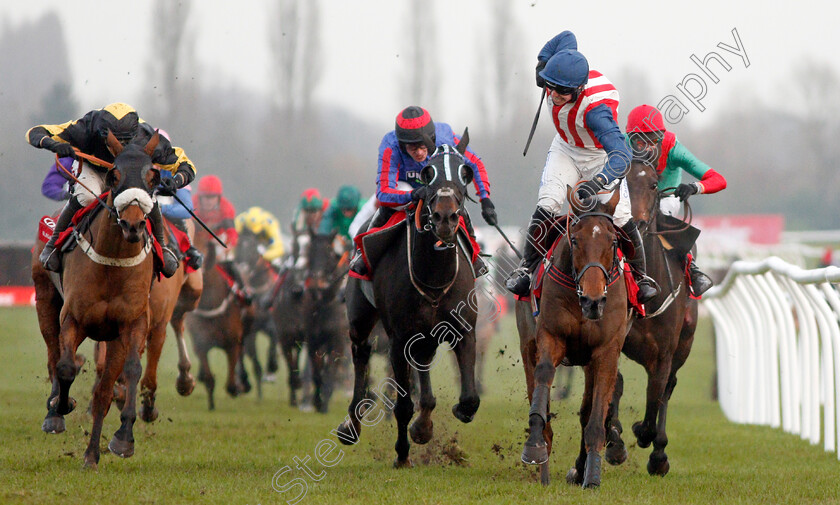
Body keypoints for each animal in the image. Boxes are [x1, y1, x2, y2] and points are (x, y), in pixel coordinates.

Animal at [33, 131, 164, 468]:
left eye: (153, 177)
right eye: (114, 175)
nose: (133, 224)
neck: (112, 262)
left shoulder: (132, 323)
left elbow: (130, 372)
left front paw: (124, 438)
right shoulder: (73, 318)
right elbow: (66, 367)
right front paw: (61, 406)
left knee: (103, 393)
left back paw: (92, 454)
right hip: (45, 301)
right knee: (54, 356)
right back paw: (54, 412)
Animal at [334, 136, 480, 466]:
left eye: (465, 172)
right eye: (427, 173)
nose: (444, 217)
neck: (434, 275)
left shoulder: (463, 329)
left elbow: (469, 400)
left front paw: (427, 426)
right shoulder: (398, 338)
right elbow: (401, 405)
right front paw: (402, 454)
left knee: (422, 364)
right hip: (360, 316)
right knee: (360, 353)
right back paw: (352, 423)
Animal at [520, 190, 632, 488]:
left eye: (613, 241)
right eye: (575, 239)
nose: (593, 301)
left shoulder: (606, 352)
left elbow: (595, 414)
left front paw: (591, 475)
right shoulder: (550, 336)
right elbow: (543, 377)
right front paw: (534, 445)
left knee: (586, 410)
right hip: (527, 344)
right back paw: (544, 467)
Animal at [604, 159, 704, 474]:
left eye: (653, 185)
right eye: (621, 183)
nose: (635, 223)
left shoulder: (663, 355)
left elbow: (655, 402)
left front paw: (644, 436)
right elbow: (615, 385)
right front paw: (615, 440)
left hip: (685, 344)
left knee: (668, 389)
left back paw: (659, 453)